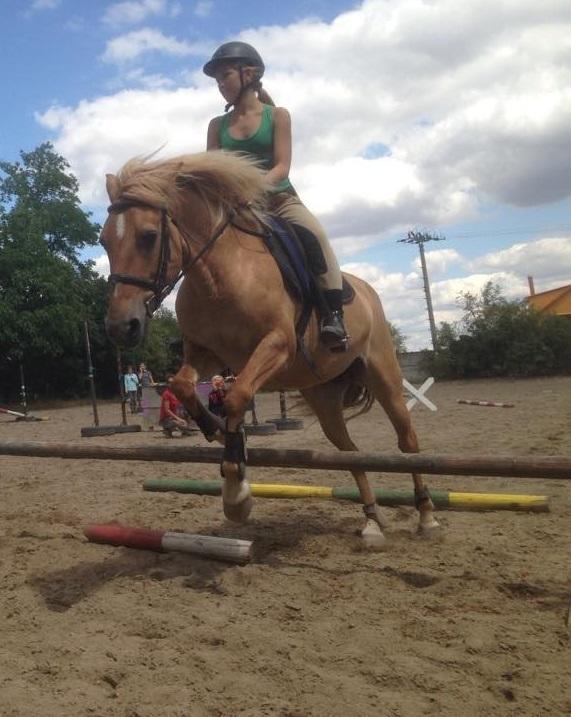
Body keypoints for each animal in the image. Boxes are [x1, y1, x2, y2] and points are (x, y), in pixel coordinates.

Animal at [103, 148, 440, 544]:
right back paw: (372, 521)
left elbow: (237, 396)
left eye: (148, 236)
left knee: (407, 441)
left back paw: (426, 516)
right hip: (323, 396)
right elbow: (183, 385)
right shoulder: (208, 353)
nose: (120, 327)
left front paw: (236, 491)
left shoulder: (277, 345)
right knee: (350, 452)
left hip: (383, 375)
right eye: (104, 241)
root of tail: (368, 290)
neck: (219, 276)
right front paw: (216, 429)